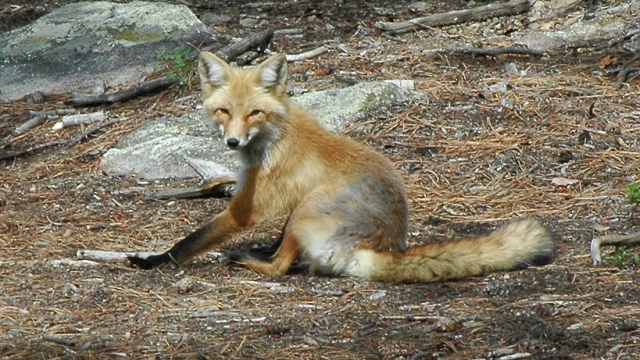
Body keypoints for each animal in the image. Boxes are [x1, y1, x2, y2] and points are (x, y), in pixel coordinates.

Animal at [126, 51, 556, 282]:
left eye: (254, 113)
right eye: (224, 111)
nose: (231, 142)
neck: (275, 136)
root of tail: (380, 246)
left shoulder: (247, 207)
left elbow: (191, 241)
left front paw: (153, 261)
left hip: (309, 205)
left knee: (281, 267)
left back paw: (247, 258)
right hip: (302, 209)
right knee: (287, 254)